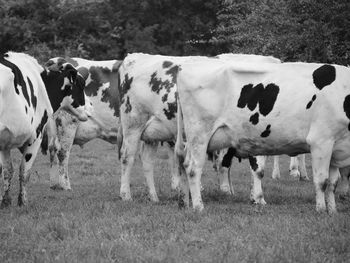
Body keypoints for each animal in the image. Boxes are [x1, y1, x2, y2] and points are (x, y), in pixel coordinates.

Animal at [0, 51, 87, 207]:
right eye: (81, 85)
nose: (89, 112)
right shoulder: (36, 136)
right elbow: (24, 171)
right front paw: (22, 202)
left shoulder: (5, 141)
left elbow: (8, 171)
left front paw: (5, 202)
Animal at [175, 58, 350, 214]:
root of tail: (184, 67)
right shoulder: (321, 141)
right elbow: (322, 181)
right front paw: (321, 210)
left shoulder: (336, 146)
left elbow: (333, 183)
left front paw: (332, 211)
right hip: (199, 135)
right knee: (193, 168)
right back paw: (198, 207)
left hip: (189, 139)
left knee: (183, 162)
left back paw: (184, 202)